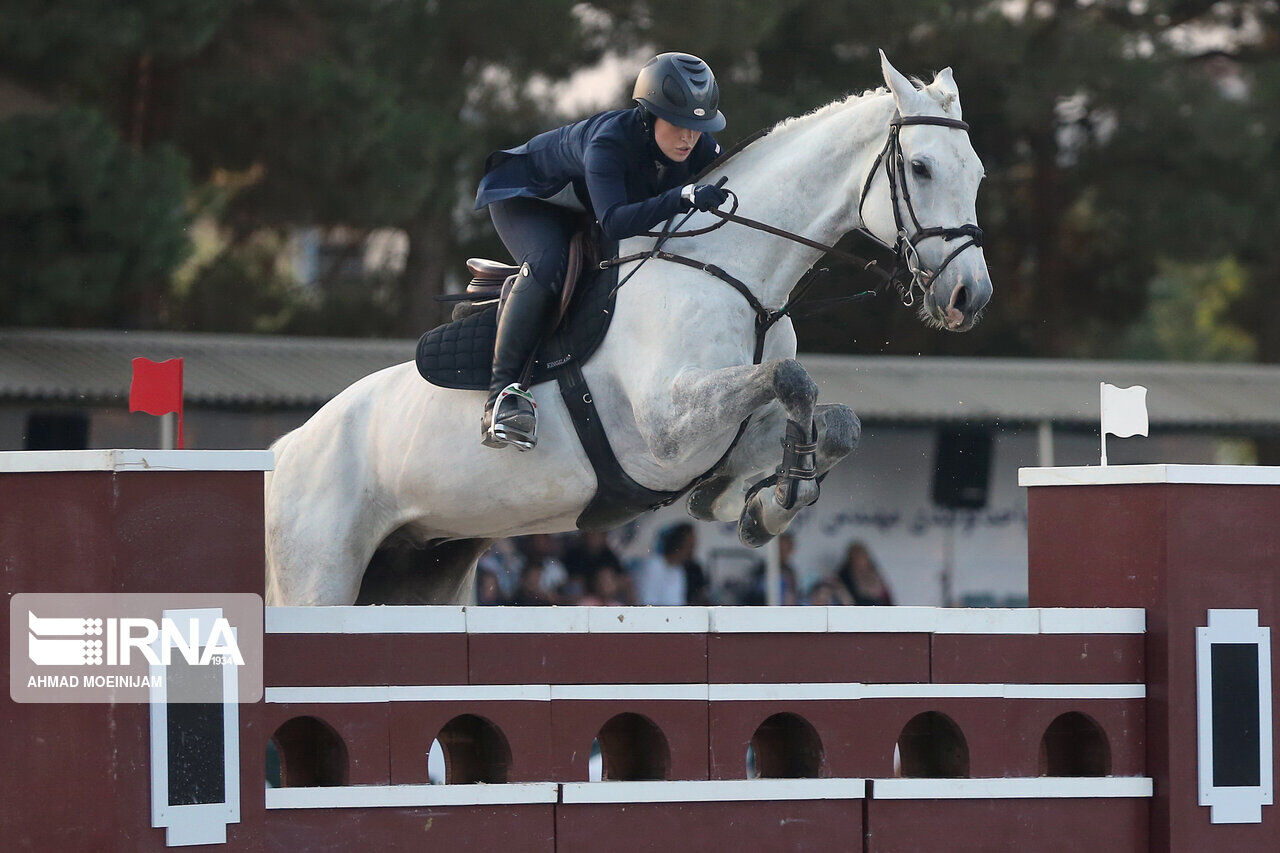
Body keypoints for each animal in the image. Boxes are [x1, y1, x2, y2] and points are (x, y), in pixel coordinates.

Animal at [264, 53, 993, 601]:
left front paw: (763, 503)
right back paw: (507, 409)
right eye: (921, 167)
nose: (969, 295)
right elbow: (791, 378)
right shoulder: (666, 426)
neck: (737, 275)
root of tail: (284, 450)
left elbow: (833, 421)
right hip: (318, 573)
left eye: (978, 172)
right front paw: (774, 496)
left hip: (424, 567)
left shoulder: (721, 434)